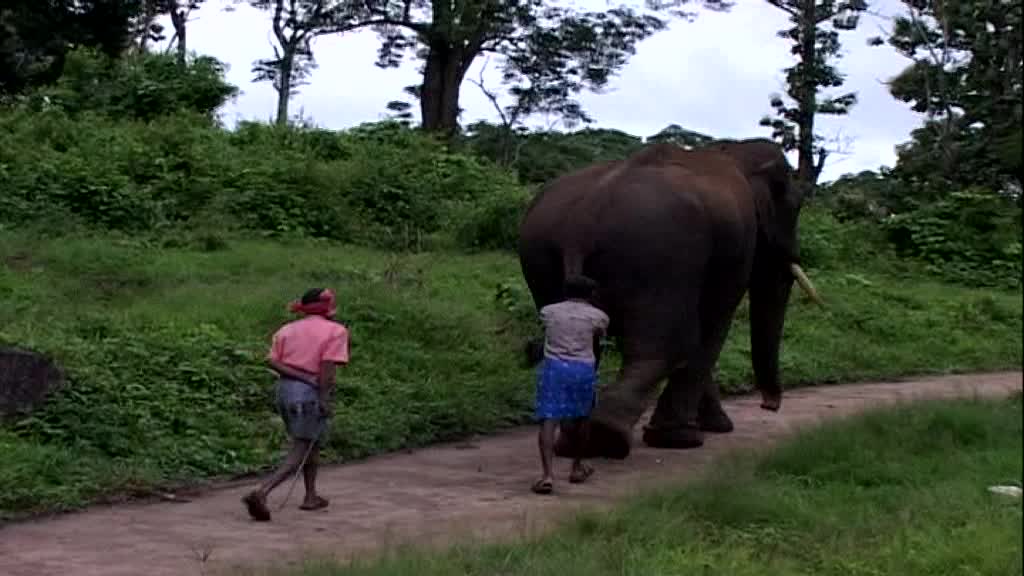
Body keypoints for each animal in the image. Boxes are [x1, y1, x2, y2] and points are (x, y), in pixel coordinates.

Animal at [516, 136, 819, 455]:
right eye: (794, 207)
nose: (769, 406)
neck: (736, 150)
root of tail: (584, 219)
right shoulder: (738, 244)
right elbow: (713, 323)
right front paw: (687, 437)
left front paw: (715, 426)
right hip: (659, 251)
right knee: (668, 344)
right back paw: (609, 437)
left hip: (541, 255)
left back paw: (573, 442)